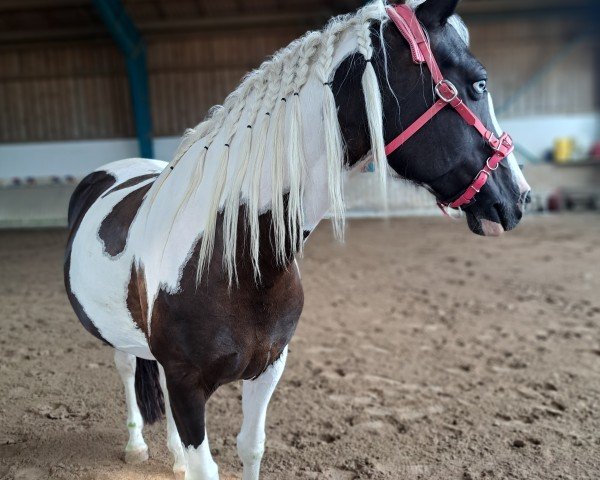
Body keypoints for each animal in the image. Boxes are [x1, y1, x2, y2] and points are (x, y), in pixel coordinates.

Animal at [64, 0, 528, 480]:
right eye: (478, 83)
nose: (518, 197)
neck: (231, 258)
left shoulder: (267, 368)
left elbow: (250, 447)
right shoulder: (187, 384)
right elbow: (206, 464)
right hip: (119, 340)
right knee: (126, 368)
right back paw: (136, 446)